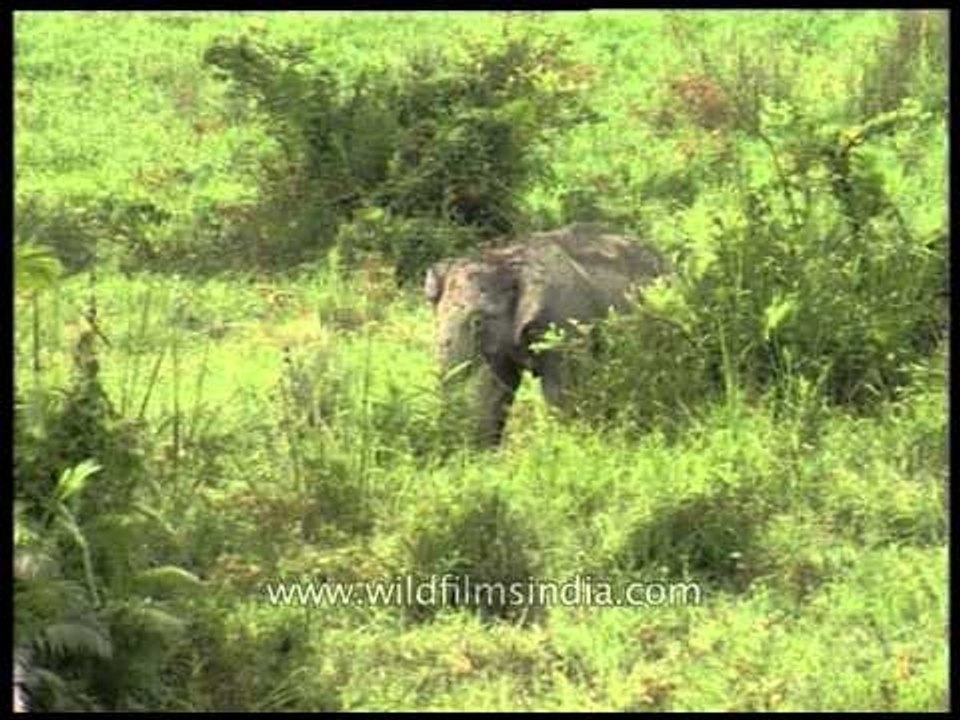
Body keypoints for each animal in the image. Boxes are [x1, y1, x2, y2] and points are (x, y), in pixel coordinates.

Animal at [424, 222, 671, 446]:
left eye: (478, 322)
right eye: (436, 317)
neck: (505, 259)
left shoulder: (565, 323)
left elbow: (561, 389)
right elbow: (494, 390)